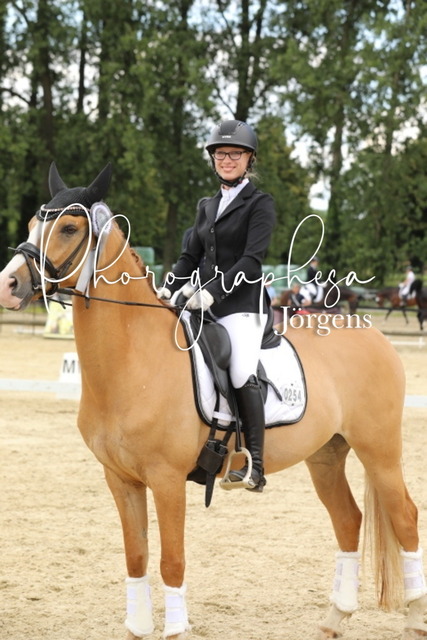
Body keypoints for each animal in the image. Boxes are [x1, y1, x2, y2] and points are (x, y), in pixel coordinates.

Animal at [1, 163, 426, 640]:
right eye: (33, 224)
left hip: (379, 450)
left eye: (70, 228)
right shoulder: (120, 479)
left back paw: (414, 617)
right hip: (326, 455)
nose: (9, 284)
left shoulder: (166, 480)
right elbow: (136, 558)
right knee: (349, 520)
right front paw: (137, 628)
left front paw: (175, 630)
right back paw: (336, 618)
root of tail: (373, 334)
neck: (134, 358)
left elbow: (171, 562)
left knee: (405, 517)